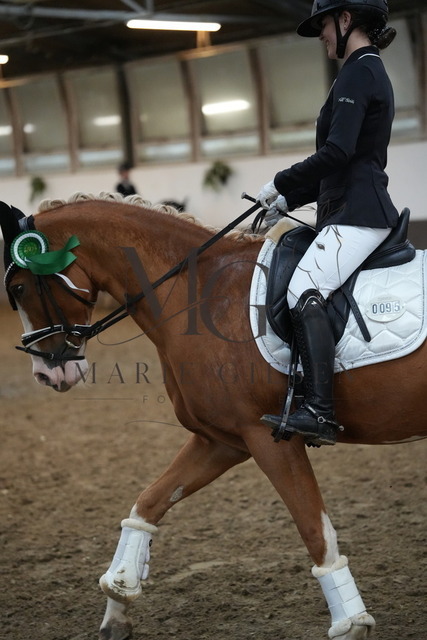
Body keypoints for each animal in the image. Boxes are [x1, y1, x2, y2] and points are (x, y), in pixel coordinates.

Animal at [1, 192, 426, 640]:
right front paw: (119, 600)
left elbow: (314, 528)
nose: (46, 373)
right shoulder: (221, 441)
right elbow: (148, 503)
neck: (200, 291)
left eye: (18, 287)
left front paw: (351, 623)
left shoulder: (269, 438)